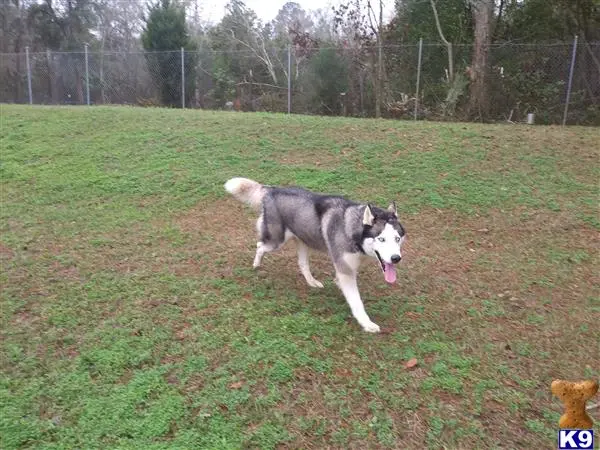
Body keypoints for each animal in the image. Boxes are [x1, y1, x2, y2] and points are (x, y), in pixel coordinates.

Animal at [223, 178, 406, 332]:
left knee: (302, 264)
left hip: (303, 242)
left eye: (397, 239)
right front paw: (366, 323)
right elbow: (356, 301)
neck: (351, 229)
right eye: (381, 239)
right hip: (276, 241)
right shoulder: (345, 269)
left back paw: (312, 282)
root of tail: (272, 190)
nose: (396, 259)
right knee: (259, 246)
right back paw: (257, 264)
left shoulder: (347, 266)